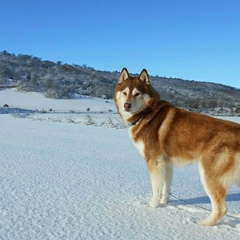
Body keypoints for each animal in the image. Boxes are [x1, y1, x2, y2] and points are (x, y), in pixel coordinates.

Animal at [114, 68, 240, 227]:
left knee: (221, 209)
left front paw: (152, 206)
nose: (127, 105)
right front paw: (164, 203)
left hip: (208, 175)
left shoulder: (154, 162)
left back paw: (203, 224)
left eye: (137, 93)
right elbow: (166, 187)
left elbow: (156, 188)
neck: (146, 113)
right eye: (125, 92)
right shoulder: (166, 164)